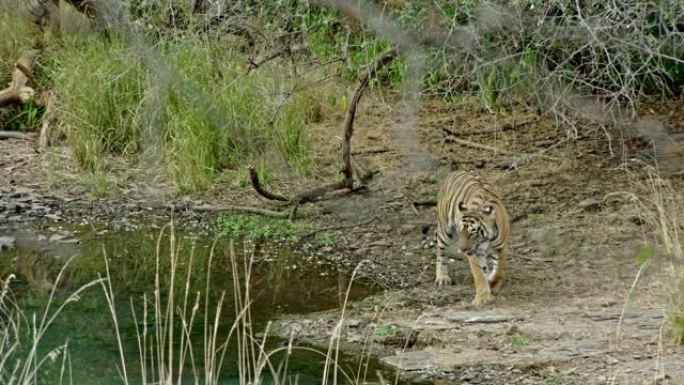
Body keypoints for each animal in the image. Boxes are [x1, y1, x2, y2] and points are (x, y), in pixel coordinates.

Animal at [436, 171, 510, 306]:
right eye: (461, 232)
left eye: (472, 232)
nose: (462, 249)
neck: (486, 239)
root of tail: (454, 172)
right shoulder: (474, 252)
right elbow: (479, 274)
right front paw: (481, 298)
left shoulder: (501, 246)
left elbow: (499, 268)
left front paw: (493, 283)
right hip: (444, 230)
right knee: (441, 253)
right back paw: (442, 278)